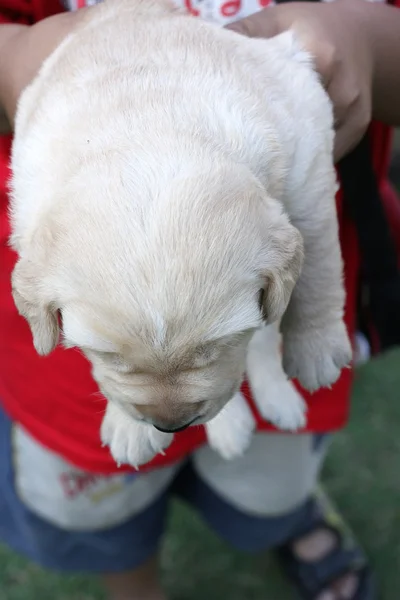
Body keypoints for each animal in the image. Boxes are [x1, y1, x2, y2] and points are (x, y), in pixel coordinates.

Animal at [9, 0, 350, 466]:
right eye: (108, 355)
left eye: (220, 344)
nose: (170, 424)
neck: (145, 125)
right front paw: (129, 429)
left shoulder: (307, 149)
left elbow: (318, 255)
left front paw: (317, 348)